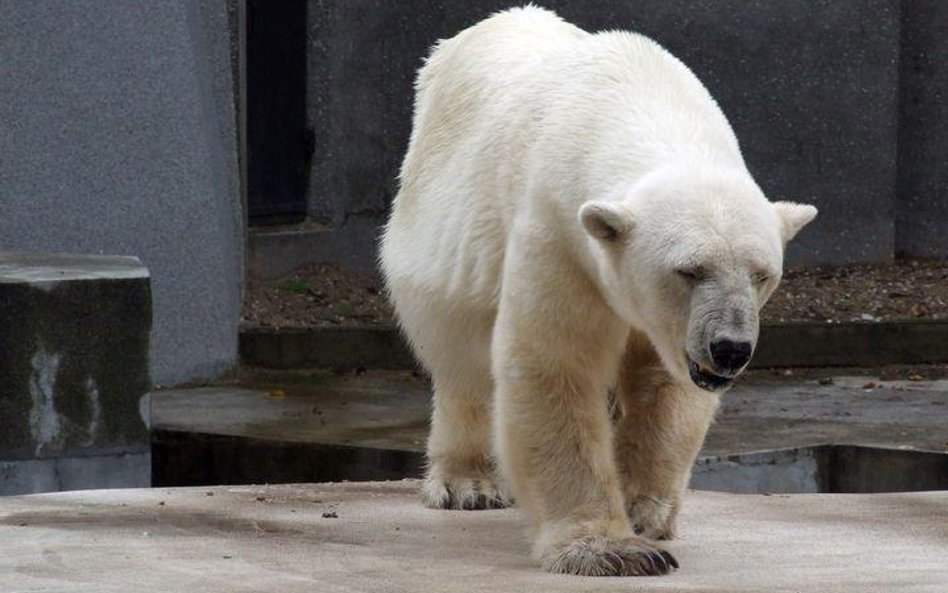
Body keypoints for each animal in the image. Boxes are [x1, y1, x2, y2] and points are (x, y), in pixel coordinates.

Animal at [378, 5, 816, 580]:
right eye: (689, 270)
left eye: (762, 273)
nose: (729, 349)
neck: (639, 102)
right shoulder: (560, 233)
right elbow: (554, 366)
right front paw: (610, 549)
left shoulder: (666, 324)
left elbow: (663, 383)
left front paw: (643, 509)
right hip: (439, 230)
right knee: (460, 355)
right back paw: (467, 483)